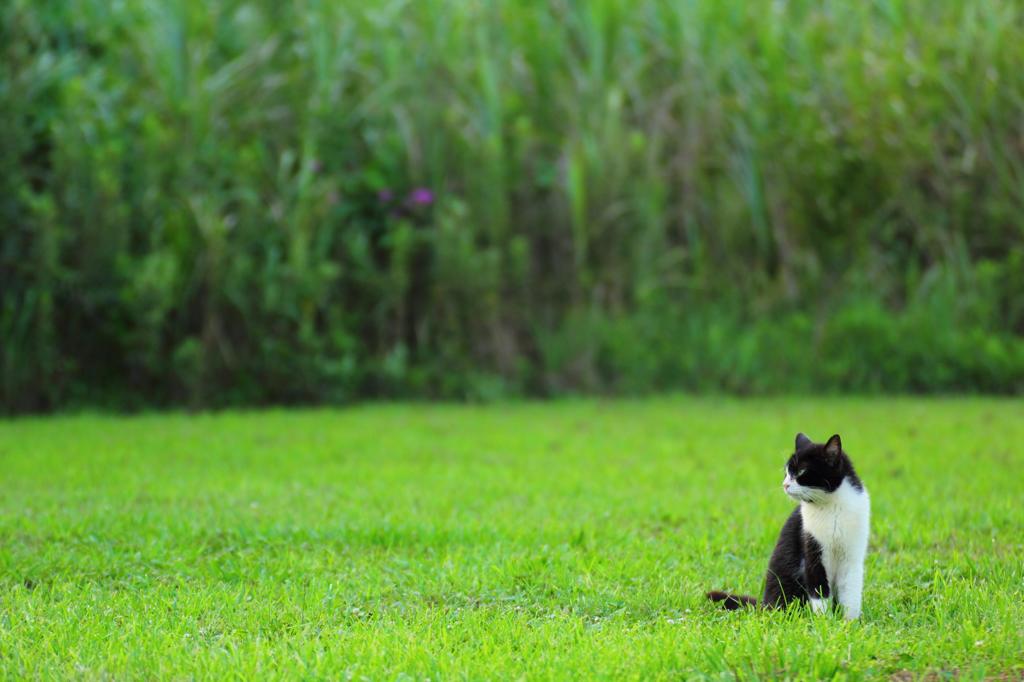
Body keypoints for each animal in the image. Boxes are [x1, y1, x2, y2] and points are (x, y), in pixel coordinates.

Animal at [708, 432, 868, 618]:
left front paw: (849, 622)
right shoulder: (811, 548)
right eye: (786, 473)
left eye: (801, 472)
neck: (831, 505)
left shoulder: (852, 554)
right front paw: (823, 621)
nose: (785, 484)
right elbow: (819, 590)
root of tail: (765, 603)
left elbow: (851, 593)